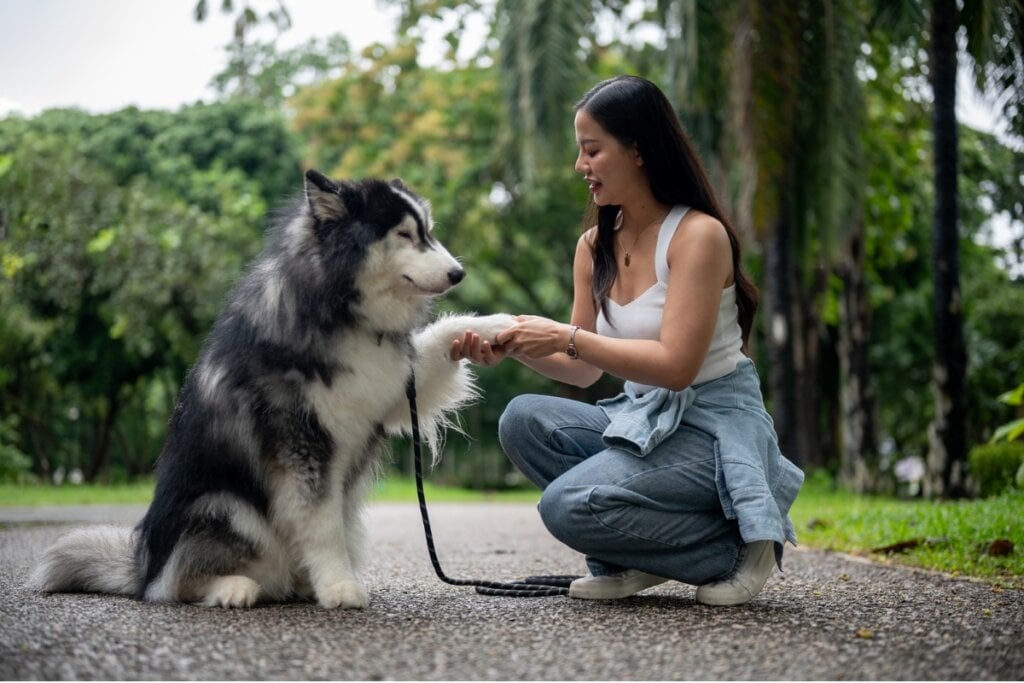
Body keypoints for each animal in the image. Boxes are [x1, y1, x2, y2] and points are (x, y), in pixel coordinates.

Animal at [33, 169, 516, 610]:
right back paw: (233, 588)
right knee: (173, 585)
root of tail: (142, 564)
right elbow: (322, 525)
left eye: (428, 232)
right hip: (223, 506)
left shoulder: (395, 390)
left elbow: (446, 332)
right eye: (404, 234)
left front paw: (501, 326)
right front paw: (339, 587)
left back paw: (299, 583)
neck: (340, 311)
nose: (458, 273)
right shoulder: (301, 443)